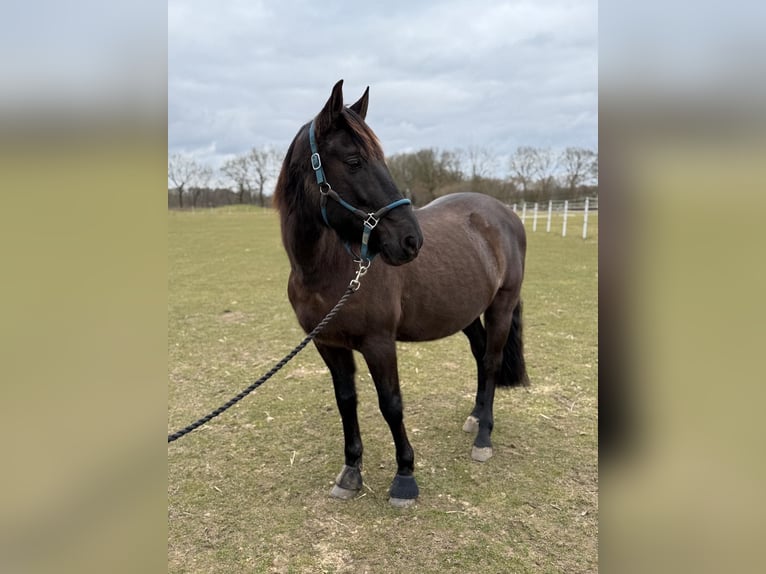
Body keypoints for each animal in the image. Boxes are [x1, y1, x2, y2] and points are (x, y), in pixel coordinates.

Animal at [274, 80, 529, 507]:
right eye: (354, 161)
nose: (411, 241)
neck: (329, 269)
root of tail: (504, 214)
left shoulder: (379, 343)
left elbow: (391, 404)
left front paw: (405, 477)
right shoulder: (328, 343)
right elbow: (347, 401)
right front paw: (350, 472)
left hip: (501, 306)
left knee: (492, 362)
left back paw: (483, 437)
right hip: (466, 312)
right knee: (480, 355)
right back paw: (475, 416)